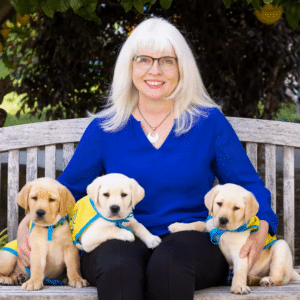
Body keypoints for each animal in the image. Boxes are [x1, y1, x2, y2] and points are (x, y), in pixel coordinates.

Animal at [169, 183, 300, 296]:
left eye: (236, 208)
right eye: (219, 203)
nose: (223, 220)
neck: (225, 232)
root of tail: (292, 271)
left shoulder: (241, 254)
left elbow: (240, 271)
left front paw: (239, 286)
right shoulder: (211, 226)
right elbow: (199, 224)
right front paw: (177, 226)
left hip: (281, 247)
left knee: (279, 278)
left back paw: (268, 280)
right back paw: (251, 279)